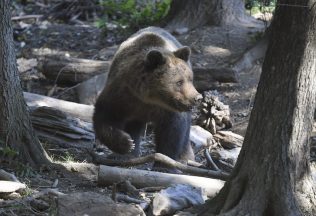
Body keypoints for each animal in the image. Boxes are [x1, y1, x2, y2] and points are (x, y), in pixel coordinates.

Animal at [92, 26, 201, 162]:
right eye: (179, 82)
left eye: (190, 78)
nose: (197, 97)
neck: (149, 98)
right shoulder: (121, 95)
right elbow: (105, 116)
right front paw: (127, 143)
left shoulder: (168, 111)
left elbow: (172, 133)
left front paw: (164, 160)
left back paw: (186, 156)